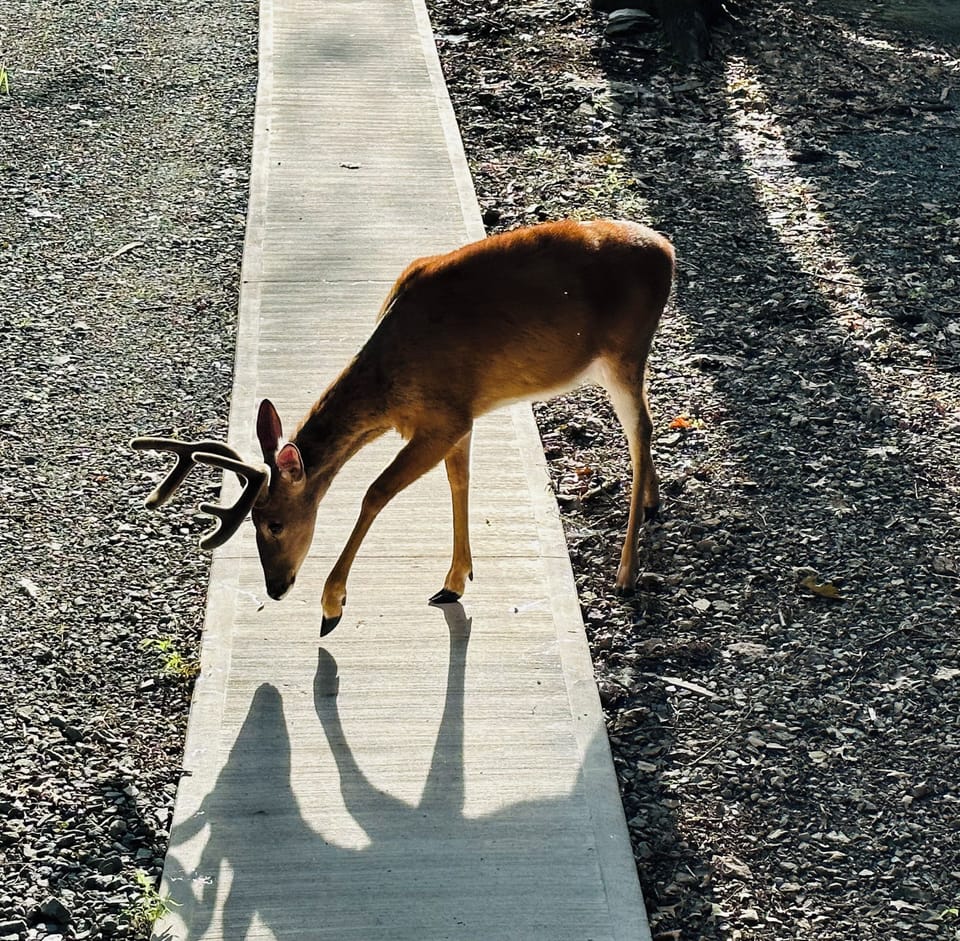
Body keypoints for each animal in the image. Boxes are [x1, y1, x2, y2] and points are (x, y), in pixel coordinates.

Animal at [133, 219, 675, 635]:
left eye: (274, 523)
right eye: (253, 522)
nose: (276, 587)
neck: (391, 381)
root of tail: (667, 250)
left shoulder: (441, 418)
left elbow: (375, 492)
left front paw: (332, 604)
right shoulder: (460, 416)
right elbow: (459, 481)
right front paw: (455, 581)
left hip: (623, 353)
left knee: (642, 431)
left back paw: (626, 572)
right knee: (645, 430)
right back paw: (652, 503)